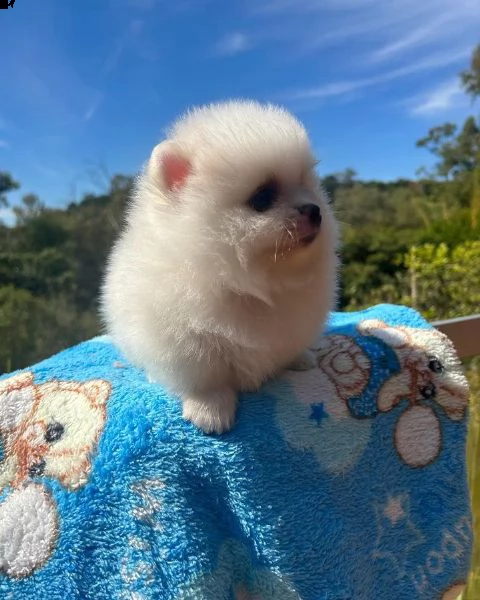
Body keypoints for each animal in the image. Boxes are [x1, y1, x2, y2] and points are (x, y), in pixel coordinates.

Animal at [101, 101, 340, 434]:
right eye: (262, 197)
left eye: (306, 186)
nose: (315, 211)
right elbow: (207, 379)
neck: (247, 282)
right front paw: (210, 410)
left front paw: (298, 357)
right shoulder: (186, 343)